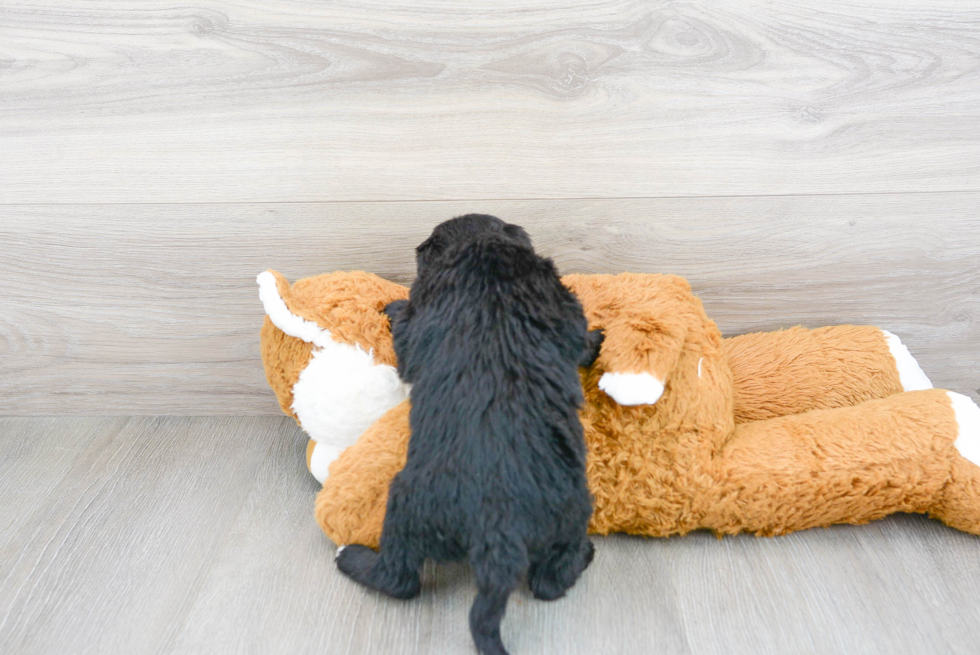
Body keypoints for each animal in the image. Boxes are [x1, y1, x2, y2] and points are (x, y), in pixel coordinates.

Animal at [334, 215, 600, 655]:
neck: (484, 255)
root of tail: (499, 531)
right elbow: (581, 336)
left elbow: (404, 330)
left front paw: (393, 306)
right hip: (571, 510)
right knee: (547, 582)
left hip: (406, 505)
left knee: (399, 579)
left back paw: (351, 558)